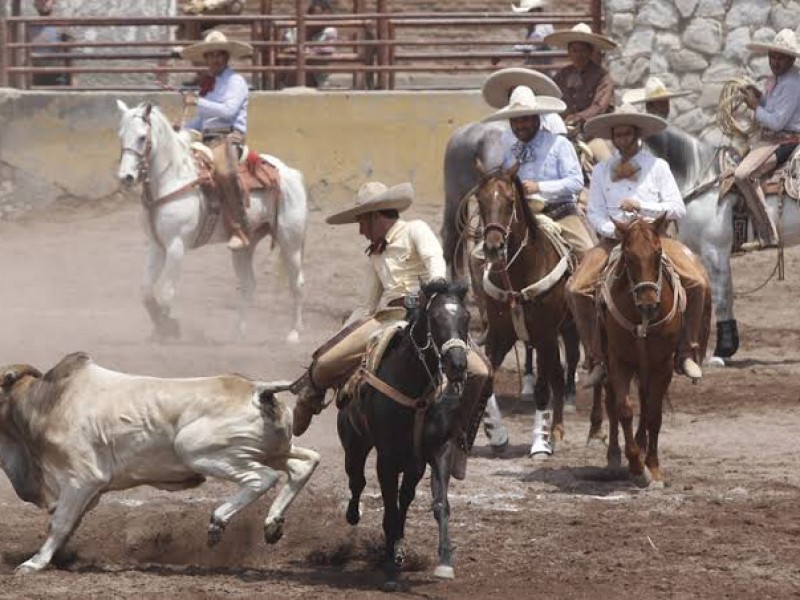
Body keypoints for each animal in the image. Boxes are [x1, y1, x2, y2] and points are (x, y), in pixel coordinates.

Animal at [115, 99, 306, 342]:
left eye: (141, 137)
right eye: (121, 136)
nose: (126, 177)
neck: (172, 180)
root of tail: (291, 173)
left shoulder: (176, 246)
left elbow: (166, 293)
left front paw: (170, 327)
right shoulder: (156, 245)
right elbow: (146, 291)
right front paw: (159, 329)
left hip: (290, 241)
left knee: (296, 283)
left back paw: (293, 333)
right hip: (245, 246)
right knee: (248, 285)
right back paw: (237, 333)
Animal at [338, 278, 476, 588]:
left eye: (466, 317)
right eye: (435, 318)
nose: (458, 365)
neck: (416, 393)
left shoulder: (439, 450)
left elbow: (440, 504)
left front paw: (444, 563)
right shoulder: (386, 459)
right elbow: (388, 510)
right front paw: (390, 570)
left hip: (414, 465)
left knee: (405, 496)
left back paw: (399, 547)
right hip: (354, 446)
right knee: (357, 481)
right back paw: (355, 516)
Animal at [472, 159, 572, 454]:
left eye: (509, 201)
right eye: (479, 199)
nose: (493, 247)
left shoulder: (545, 336)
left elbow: (541, 388)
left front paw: (539, 442)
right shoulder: (499, 335)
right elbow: (489, 379)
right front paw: (496, 435)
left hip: (570, 331)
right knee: (558, 376)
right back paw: (556, 431)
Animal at [600, 216, 688, 488]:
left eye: (658, 253)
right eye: (628, 257)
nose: (649, 302)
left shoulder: (662, 364)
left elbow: (654, 414)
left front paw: (653, 467)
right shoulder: (619, 361)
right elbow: (624, 409)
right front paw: (637, 465)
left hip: (647, 368)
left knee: (647, 402)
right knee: (611, 404)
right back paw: (614, 458)